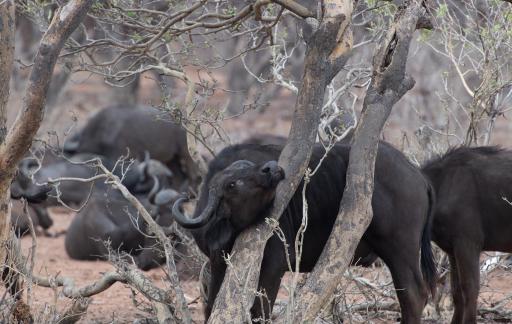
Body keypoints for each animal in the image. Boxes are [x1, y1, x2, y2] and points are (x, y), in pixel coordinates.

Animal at [172, 142, 436, 324]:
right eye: (232, 184)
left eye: (249, 168)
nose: (271, 168)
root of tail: (418, 175)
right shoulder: (218, 263)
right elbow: (213, 306)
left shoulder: (273, 265)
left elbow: (260, 309)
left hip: (399, 250)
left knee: (413, 295)